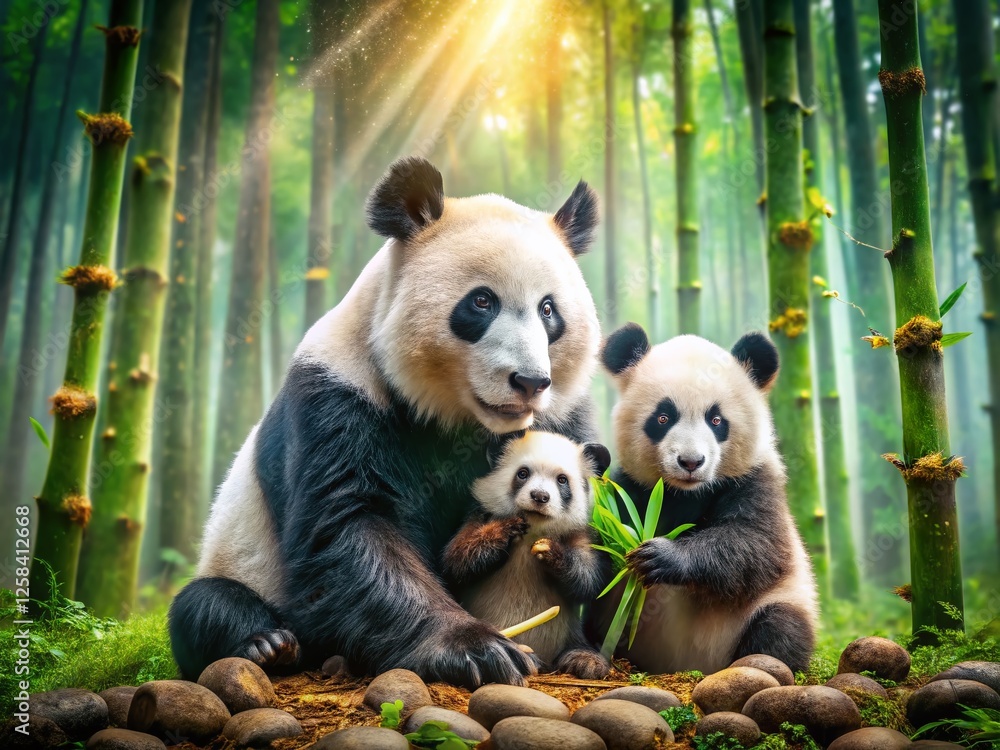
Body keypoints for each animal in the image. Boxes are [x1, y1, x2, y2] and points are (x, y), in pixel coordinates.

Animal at [442, 431, 613, 679]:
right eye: (523, 473)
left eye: (562, 480)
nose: (540, 496)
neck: (534, 527)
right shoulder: (479, 514)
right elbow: (458, 560)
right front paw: (506, 530)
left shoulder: (580, 533)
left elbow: (589, 580)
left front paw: (551, 552)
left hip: (568, 632)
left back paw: (584, 661)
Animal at [596, 323, 818, 674]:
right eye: (663, 418)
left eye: (716, 420)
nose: (690, 462)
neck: (685, 492)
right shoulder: (630, 486)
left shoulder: (755, 481)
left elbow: (755, 544)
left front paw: (661, 556)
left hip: (778, 602)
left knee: (781, 628)